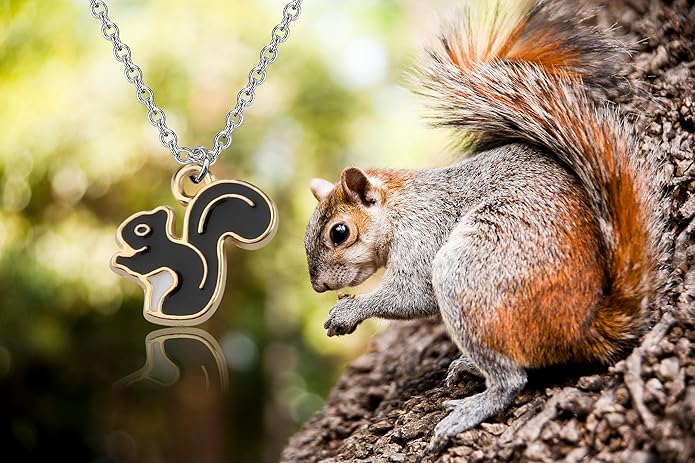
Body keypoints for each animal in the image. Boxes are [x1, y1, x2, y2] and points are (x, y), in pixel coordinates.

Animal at [112, 179, 277, 326]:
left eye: (141, 229)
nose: (121, 232)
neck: (157, 242)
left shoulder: (159, 256)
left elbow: (141, 266)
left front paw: (119, 259)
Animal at [304, 0, 662, 452]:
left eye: (339, 232)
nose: (317, 286)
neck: (401, 206)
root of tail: (585, 328)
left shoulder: (423, 233)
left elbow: (411, 294)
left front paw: (350, 311)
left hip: (468, 272)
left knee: (512, 378)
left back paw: (471, 406)